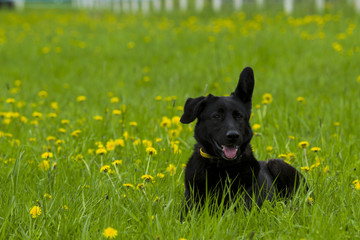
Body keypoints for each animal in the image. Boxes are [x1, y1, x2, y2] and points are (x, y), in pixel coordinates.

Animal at [180, 66, 306, 218]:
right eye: (216, 116)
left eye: (239, 116)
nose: (233, 135)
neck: (221, 167)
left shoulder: (242, 210)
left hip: (277, 164)